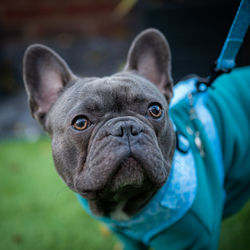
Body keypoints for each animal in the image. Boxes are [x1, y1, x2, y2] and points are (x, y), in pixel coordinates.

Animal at [23, 29, 250, 250]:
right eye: (80, 122)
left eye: (155, 110)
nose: (125, 127)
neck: (125, 202)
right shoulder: (129, 241)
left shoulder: (193, 241)